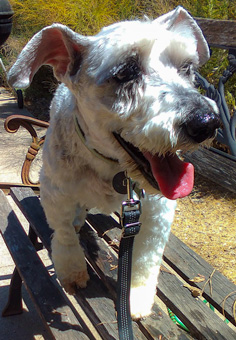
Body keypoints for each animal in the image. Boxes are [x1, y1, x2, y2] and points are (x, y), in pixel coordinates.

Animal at [8, 5, 220, 318]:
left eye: (187, 67)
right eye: (126, 72)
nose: (206, 122)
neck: (112, 168)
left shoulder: (158, 209)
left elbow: (147, 255)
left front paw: (138, 295)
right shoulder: (55, 193)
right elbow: (63, 233)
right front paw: (72, 272)